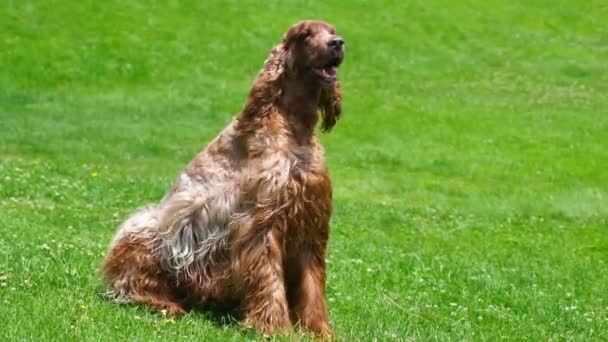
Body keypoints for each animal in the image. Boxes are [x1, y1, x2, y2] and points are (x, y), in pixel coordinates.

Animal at [102, 19, 344, 336]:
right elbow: (269, 282)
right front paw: (275, 329)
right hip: (144, 230)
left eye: (332, 31)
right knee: (132, 285)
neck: (294, 129)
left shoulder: (309, 223)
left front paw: (319, 332)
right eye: (305, 34)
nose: (337, 43)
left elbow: (312, 287)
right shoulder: (260, 226)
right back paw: (165, 304)